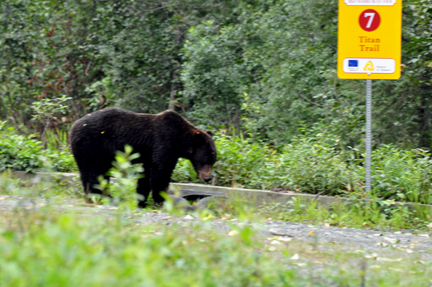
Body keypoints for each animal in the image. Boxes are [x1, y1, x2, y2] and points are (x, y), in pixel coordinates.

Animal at [70, 108, 216, 207]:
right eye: (206, 160)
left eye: (213, 161)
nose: (208, 178)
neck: (180, 141)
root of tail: (74, 125)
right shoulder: (164, 143)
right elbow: (161, 173)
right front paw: (161, 200)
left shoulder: (150, 154)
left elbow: (146, 175)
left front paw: (141, 201)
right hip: (93, 145)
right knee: (94, 171)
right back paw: (99, 197)